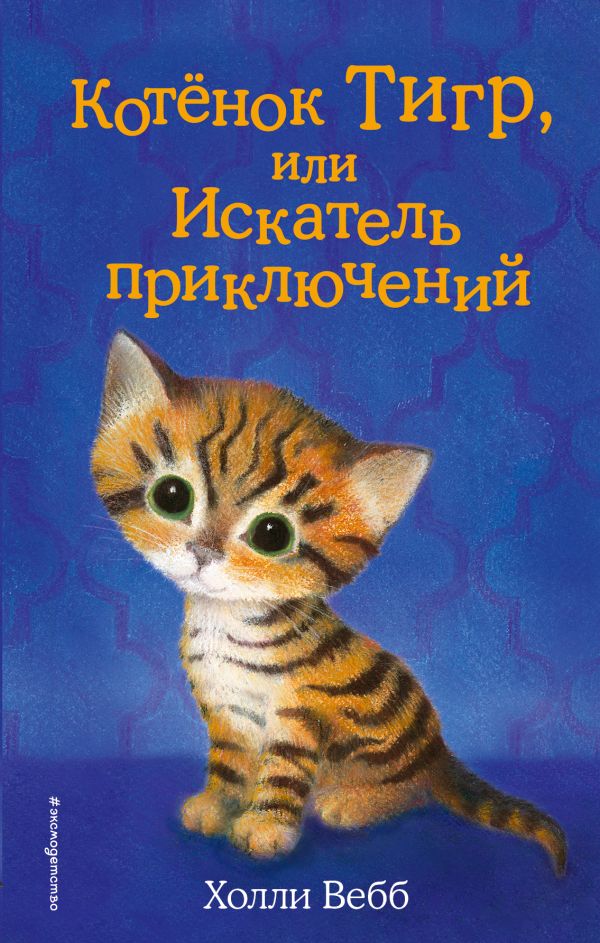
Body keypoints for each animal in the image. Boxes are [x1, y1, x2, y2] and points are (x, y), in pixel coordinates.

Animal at [91, 330, 566, 874]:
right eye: (171, 496)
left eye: (271, 534)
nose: (204, 553)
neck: (227, 623)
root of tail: (437, 753)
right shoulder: (224, 709)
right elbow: (229, 764)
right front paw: (217, 804)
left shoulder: (301, 711)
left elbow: (283, 771)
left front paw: (265, 827)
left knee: (412, 791)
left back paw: (353, 802)